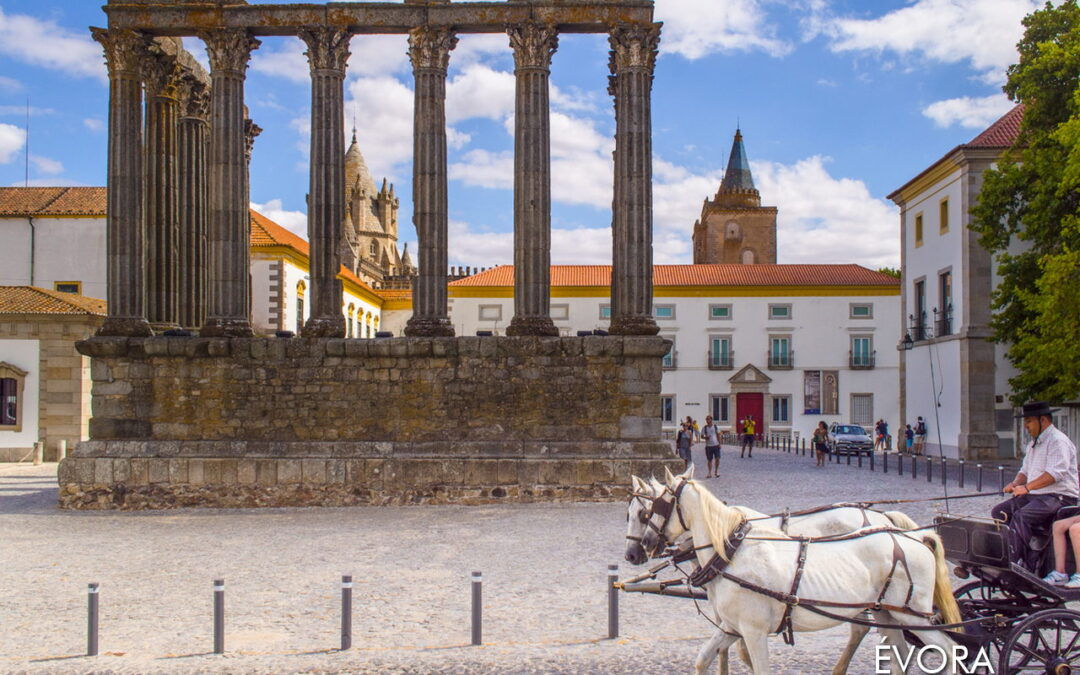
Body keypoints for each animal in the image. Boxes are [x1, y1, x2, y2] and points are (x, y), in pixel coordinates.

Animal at [639, 466, 963, 673]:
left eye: (656, 506)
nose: (642, 546)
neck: (731, 554)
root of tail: (915, 538)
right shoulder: (731, 627)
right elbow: (703, 659)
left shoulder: (754, 631)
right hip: (887, 613)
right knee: (898, 654)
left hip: (913, 614)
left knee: (948, 651)